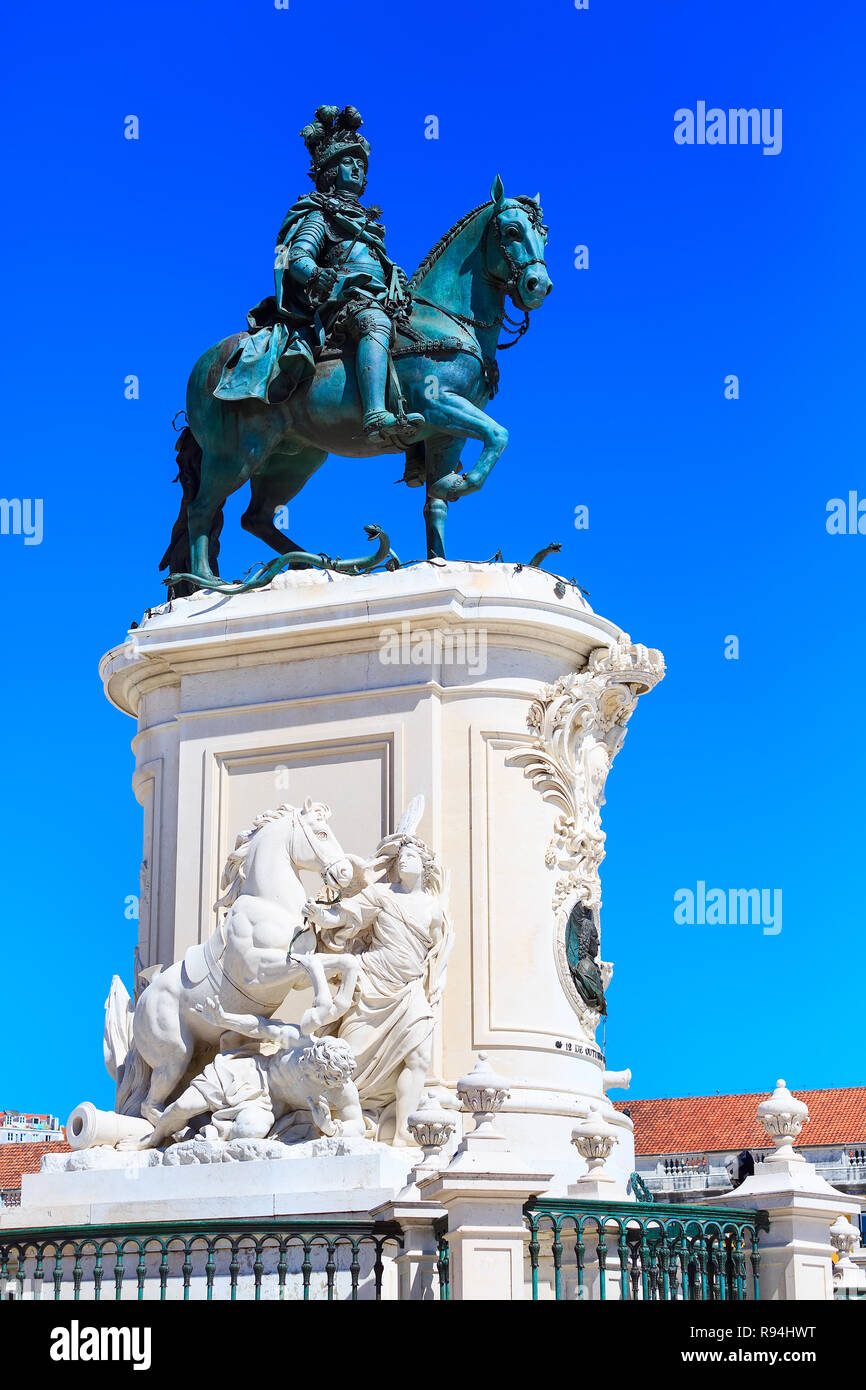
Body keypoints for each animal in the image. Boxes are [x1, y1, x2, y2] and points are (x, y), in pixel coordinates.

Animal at [164, 177, 547, 586]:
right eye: (512, 231)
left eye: (544, 235)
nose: (538, 285)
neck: (444, 322)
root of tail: (204, 364)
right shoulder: (438, 406)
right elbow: (499, 435)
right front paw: (457, 484)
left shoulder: (447, 434)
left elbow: (436, 505)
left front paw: (439, 557)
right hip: (236, 454)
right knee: (203, 507)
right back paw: (207, 582)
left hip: (292, 459)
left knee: (255, 517)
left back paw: (310, 563)